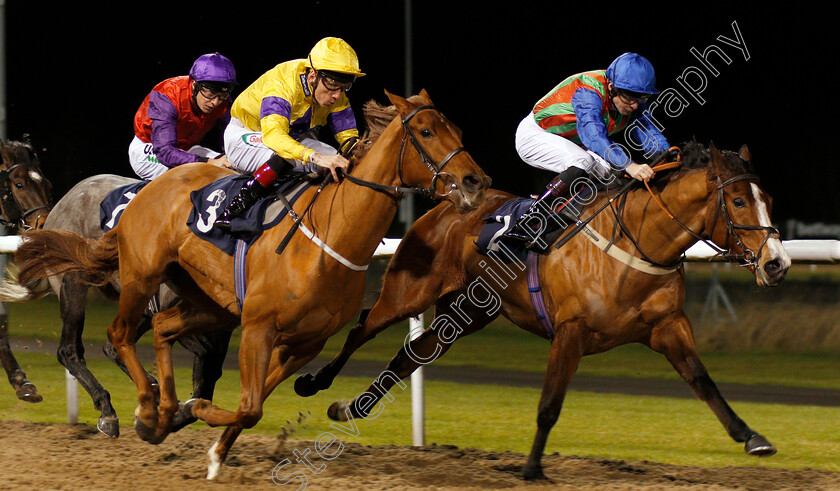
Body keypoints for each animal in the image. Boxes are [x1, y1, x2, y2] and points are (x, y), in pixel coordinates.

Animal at [296, 141, 796, 480]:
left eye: (769, 199)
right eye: (737, 201)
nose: (777, 264)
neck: (638, 242)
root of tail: (447, 203)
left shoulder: (668, 326)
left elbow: (704, 382)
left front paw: (753, 437)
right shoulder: (571, 331)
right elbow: (549, 405)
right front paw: (533, 467)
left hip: (468, 312)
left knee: (412, 353)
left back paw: (353, 407)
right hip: (408, 292)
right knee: (363, 327)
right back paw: (315, 384)